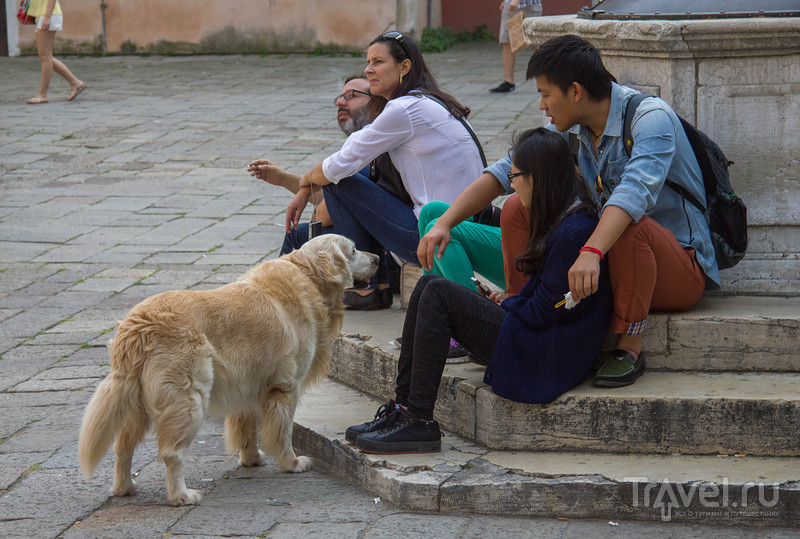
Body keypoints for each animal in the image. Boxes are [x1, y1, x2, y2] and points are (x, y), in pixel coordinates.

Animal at [79, 235, 380, 506]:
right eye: (354, 250)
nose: (378, 258)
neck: (307, 275)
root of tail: (137, 328)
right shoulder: (285, 387)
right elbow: (283, 433)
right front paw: (292, 463)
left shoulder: (248, 384)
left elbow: (247, 428)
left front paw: (251, 459)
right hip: (190, 400)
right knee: (171, 453)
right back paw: (181, 496)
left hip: (136, 404)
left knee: (122, 447)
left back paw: (124, 488)